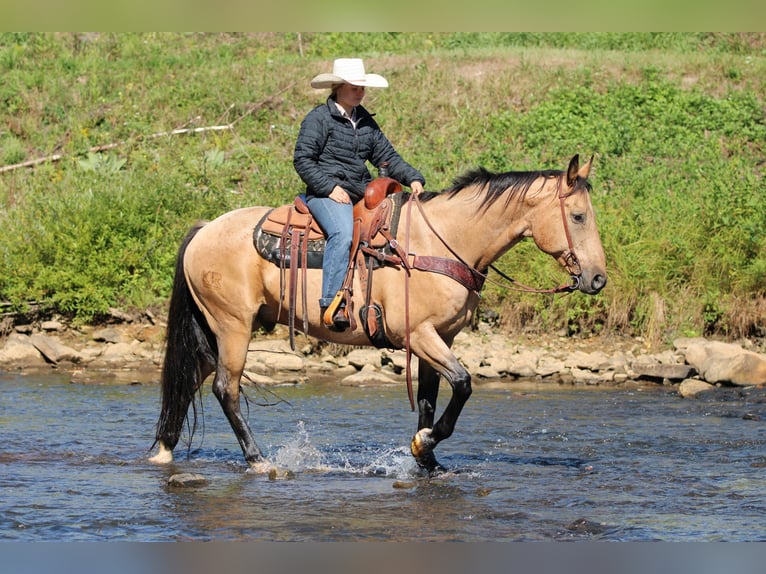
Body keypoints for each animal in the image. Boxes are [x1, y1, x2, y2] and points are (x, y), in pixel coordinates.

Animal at [149, 154, 607, 474]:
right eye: (578, 216)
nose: (598, 278)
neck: (441, 241)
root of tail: (204, 230)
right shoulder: (418, 334)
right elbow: (462, 384)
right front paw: (425, 444)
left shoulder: (438, 337)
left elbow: (428, 399)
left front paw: (426, 458)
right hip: (233, 327)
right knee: (225, 388)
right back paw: (258, 460)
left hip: (218, 328)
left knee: (189, 377)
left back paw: (164, 450)